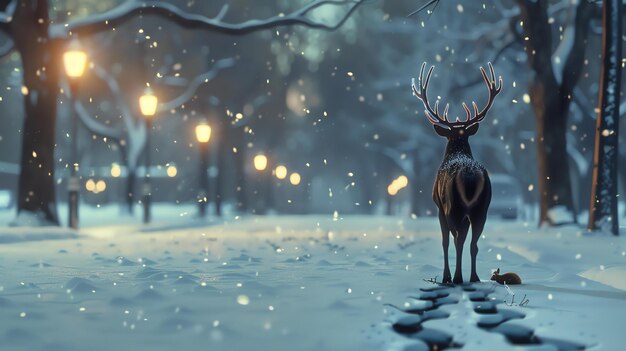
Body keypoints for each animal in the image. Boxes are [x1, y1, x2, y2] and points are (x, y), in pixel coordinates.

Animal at [410, 62, 502, 284]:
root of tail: (469, 177)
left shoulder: (438, 206)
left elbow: (445, 242)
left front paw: (446, 277)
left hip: (454, 207)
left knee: (457, 240)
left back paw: (458, 278)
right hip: (481, 208)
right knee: (473, 243)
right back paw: (474, 277)